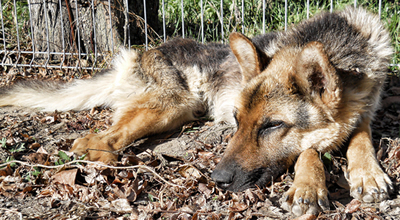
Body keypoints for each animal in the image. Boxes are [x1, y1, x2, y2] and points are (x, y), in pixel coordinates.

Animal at [0, 6, 394, 215]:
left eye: (271, 126)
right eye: (236, 121)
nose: (216, 179)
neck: (345, 52)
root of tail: (143, 52)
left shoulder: (366, 110)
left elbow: (360, 137)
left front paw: (368, 174)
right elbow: (309, 150)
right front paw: (309, 185)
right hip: (170, 108)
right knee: (100, 138)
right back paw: (101, 157)